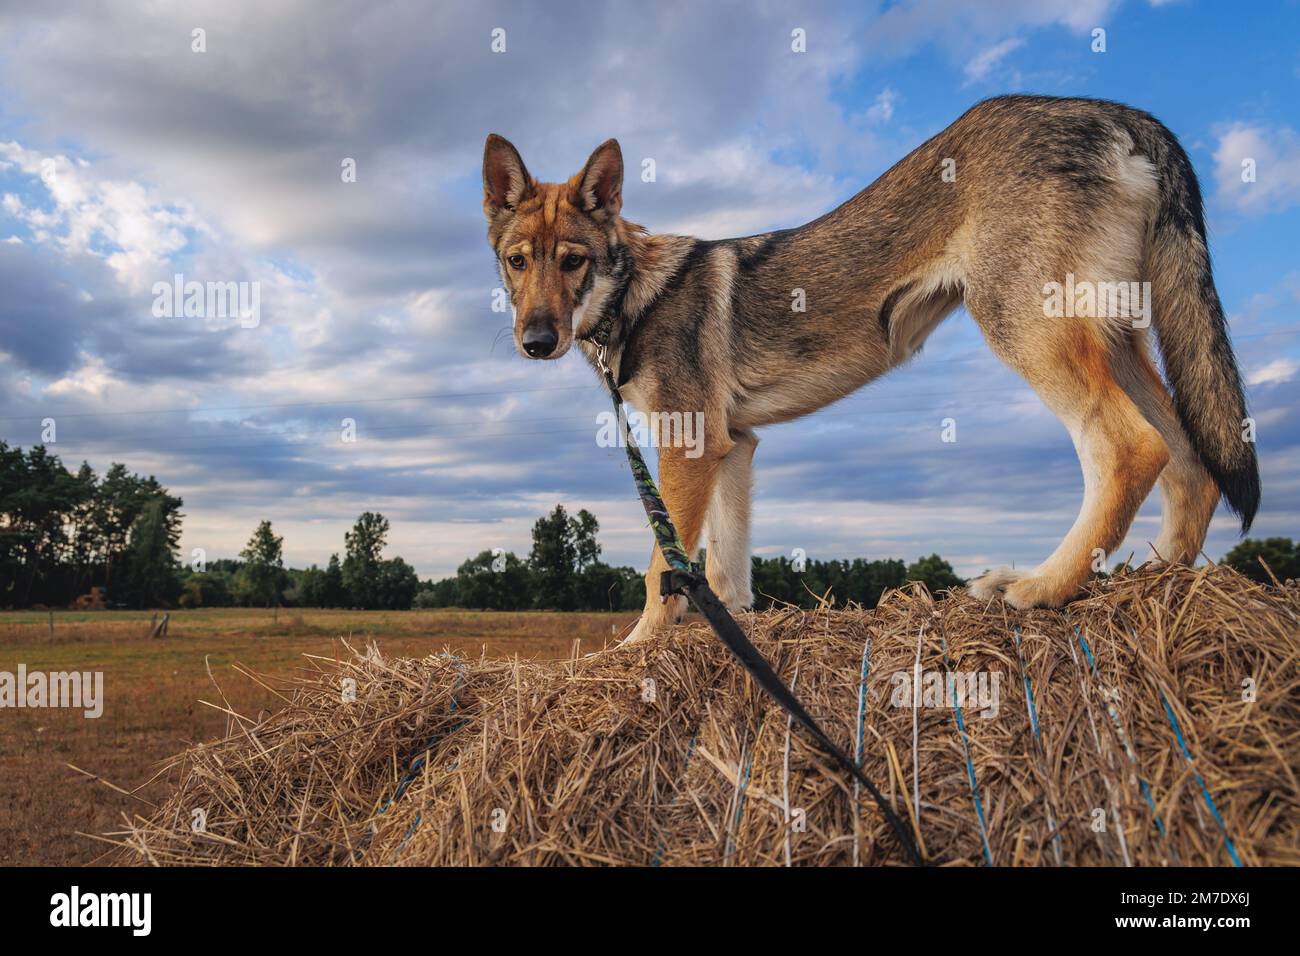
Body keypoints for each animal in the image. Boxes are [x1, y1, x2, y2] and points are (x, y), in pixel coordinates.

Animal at [480, 95, 1258, 642]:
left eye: (573, 261)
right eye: (516, 261)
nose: (536, 341)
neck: (633, 297)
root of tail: (1117, 110)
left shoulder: (687, 444)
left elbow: (660, 572)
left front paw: (637, 648)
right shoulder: (735, 446)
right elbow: (728, 576)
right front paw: (732, 638)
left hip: (1030, 332)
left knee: (1132, 448)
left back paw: (1039, 586)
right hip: (1117, 342)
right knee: (1191, 464)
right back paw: (1154, 579)